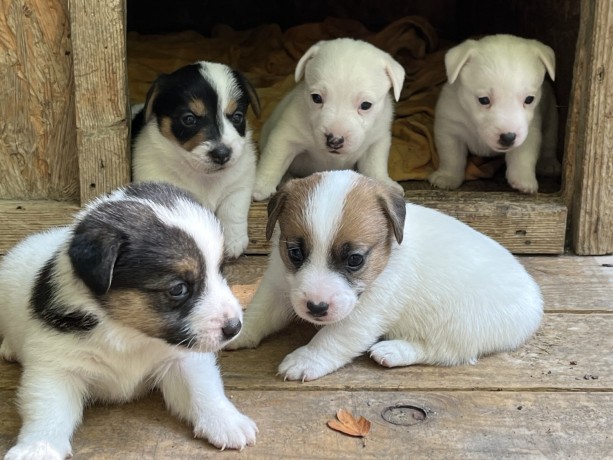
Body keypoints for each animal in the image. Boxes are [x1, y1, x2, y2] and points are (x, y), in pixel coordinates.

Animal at [0, 181, 256, 458]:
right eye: (178, 289)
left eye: (220, 270)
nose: (235, 327)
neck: (129, 332)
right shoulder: (56, 367)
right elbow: (47, 411)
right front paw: (37, 447)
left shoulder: (181, 360)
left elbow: (204, 389)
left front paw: (226, 421)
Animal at [131, 60, 260, 258]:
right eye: (189, 119)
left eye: (237, 116)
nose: (222, 154)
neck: (204, 176)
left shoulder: (240, 184)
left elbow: (233, 210)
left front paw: (234, 241)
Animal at [227, 170, 544, 380]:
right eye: (295, 253)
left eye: (355, 259)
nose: (316, 308)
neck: (387, 256)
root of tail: (534, 302)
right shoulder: (277, 286)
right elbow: (258, 314)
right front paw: (235, 332)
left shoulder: (365, 313)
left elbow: (333, 337)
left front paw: (307, 358)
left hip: (459, 325)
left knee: (445, 352)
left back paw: (393, 351)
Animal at [249, 40, 406, 203]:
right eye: (316, 98)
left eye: (366, 105)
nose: (334, 140)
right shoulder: (285, 136)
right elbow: (273, 161)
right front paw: (259, 185)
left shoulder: (377, 141)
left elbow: (375, 165)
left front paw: (384, 182)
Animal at [428, 33, 560, 192]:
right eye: (484, 100)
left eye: (529, 99)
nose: (508, 137)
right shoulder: (450, 126)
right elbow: (451, 156)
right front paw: (447, 177)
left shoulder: (530, 129)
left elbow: (523, 155)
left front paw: (524, 180)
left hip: (552, 115)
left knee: (549, 141)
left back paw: (549, 162)